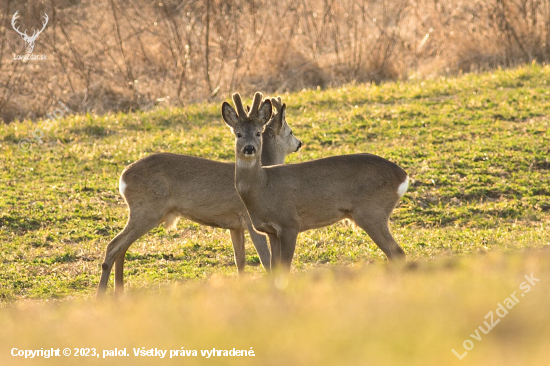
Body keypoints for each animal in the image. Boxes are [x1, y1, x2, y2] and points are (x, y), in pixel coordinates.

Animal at [95, 98, 302, 298]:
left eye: (258, 133)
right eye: (291, 131)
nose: (299, 143)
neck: (264, 171)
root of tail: (123, 178)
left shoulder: (235, 225)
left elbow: (240, 260)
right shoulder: (250, 220)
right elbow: (265, 259)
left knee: (122, 247)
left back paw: (119, 291)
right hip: (147, 211)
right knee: (114, 245)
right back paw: (101, 294)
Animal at [221, 93, 410, 274]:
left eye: (258, 133)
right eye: (238, 134)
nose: (249, 148)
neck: (263, 187)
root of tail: (403, 176)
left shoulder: (290, 223)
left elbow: (285, 268)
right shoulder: (270, 231)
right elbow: (274, 270)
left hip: (372, 211)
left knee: (397, 253)